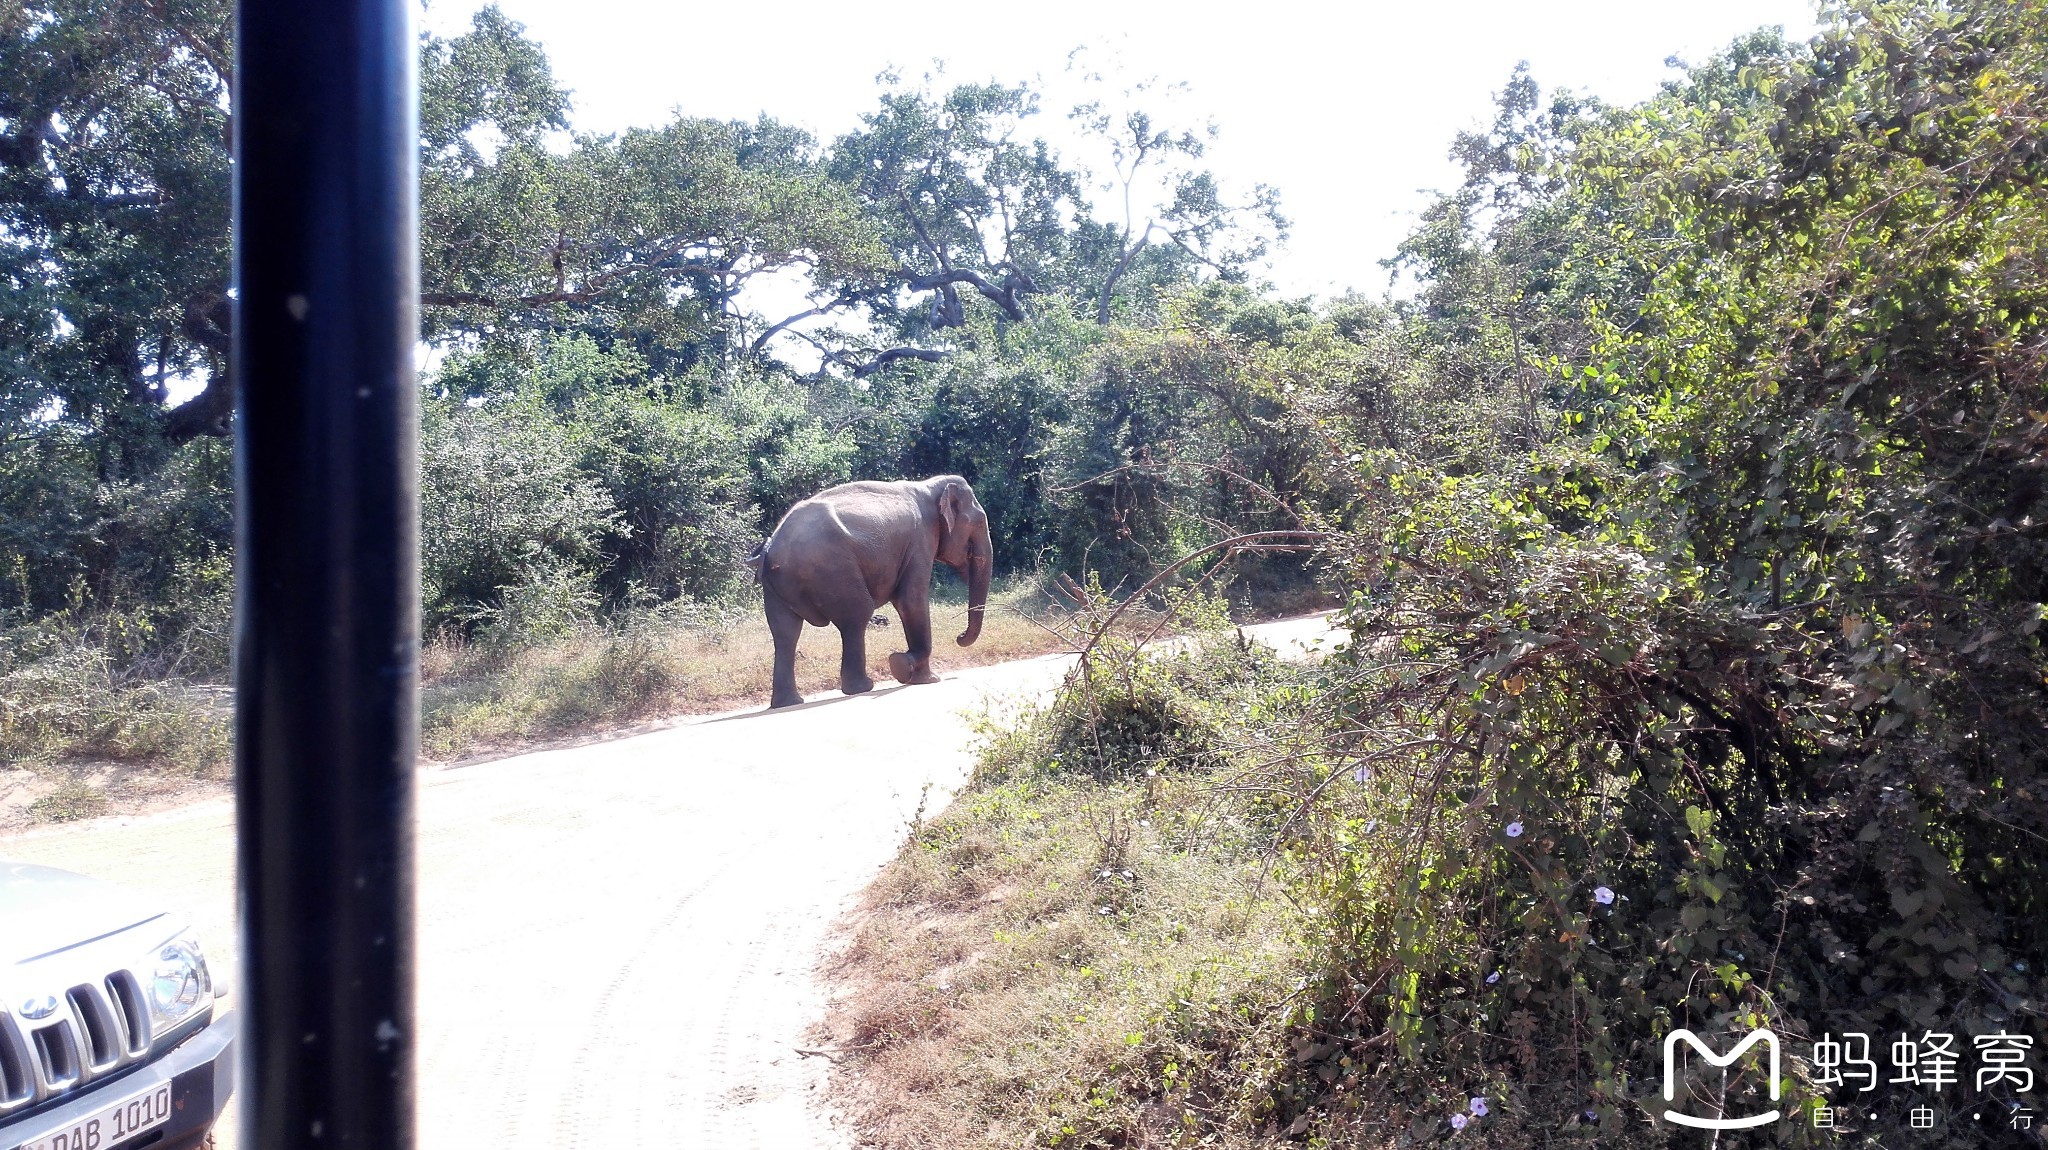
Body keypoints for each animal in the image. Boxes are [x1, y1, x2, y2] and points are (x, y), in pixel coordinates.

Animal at [745, 474, 991, 708]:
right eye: (979, 522)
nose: (959, 636)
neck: (930, 486)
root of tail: (770, 548)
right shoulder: (920, 541)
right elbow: (910, 600)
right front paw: (915, 673)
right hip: (834, 570)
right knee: (857, 616)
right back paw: (862, 688)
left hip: (779, 586)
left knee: (785, 633)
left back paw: (789, 702)